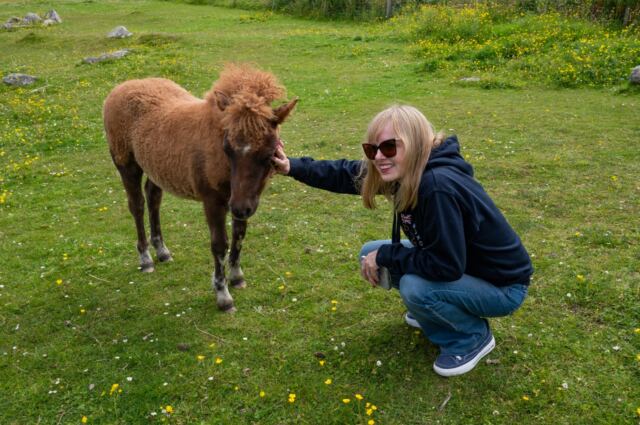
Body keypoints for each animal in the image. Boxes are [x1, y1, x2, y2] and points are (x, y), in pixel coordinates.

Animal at [103, 63, 297, 313]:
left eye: (269, 153)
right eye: (227, 148)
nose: (239, 207)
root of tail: (120, 88)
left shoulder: (243, 198)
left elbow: (239, 234)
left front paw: (237, 277)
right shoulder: (213, 200)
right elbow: (219, 244)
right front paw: (223, 295)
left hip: (157, 167)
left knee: (153, 198)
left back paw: (162, 251)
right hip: (125, 163)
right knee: (136, 205)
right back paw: (145, 259)